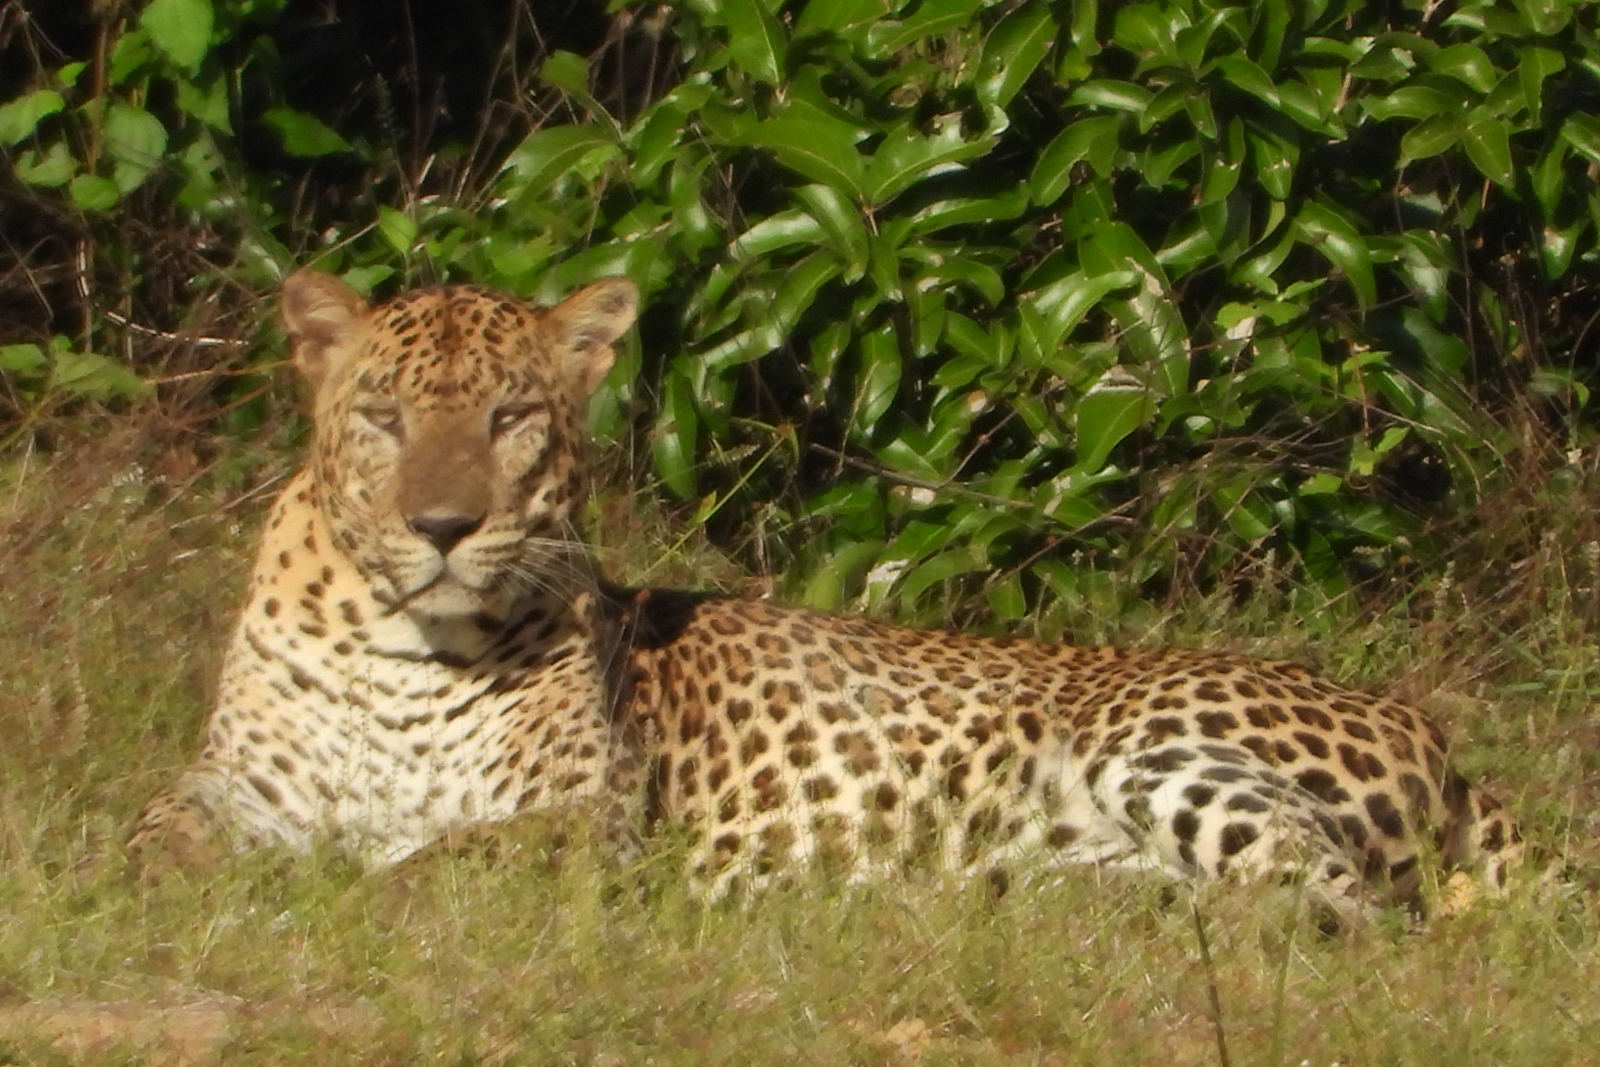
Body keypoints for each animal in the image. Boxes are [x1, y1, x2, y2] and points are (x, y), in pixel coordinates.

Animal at [127, 269, 1524, 919]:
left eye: (511, 416)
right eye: (383, 416)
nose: (441, 526)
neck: (399, 642)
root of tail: (1438, 730)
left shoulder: (584, 816)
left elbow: (436, 859)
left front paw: (335, 890)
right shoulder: (233, 782)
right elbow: (153, 834)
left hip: (1157, 750)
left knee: (1345, 911)